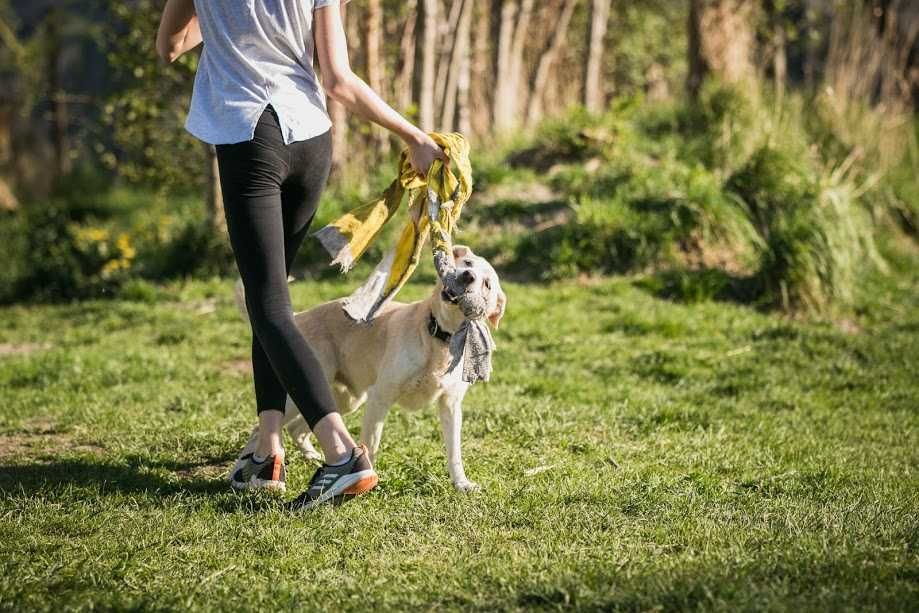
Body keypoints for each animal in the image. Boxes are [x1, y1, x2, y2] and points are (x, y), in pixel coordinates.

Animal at [235, 246, 510, 490]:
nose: (468, 276)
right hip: (302, 388)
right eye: (468, 263)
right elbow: (371, 445)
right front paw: (369, 478)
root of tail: (298, 316)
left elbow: (455, 452)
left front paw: (461, 484)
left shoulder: (451, 406)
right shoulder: (380, 397)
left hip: (345, 400)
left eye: (487, 284)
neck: (440, 335)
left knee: (297, 428)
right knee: (261, 428)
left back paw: (313, 457)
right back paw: (252, 474)